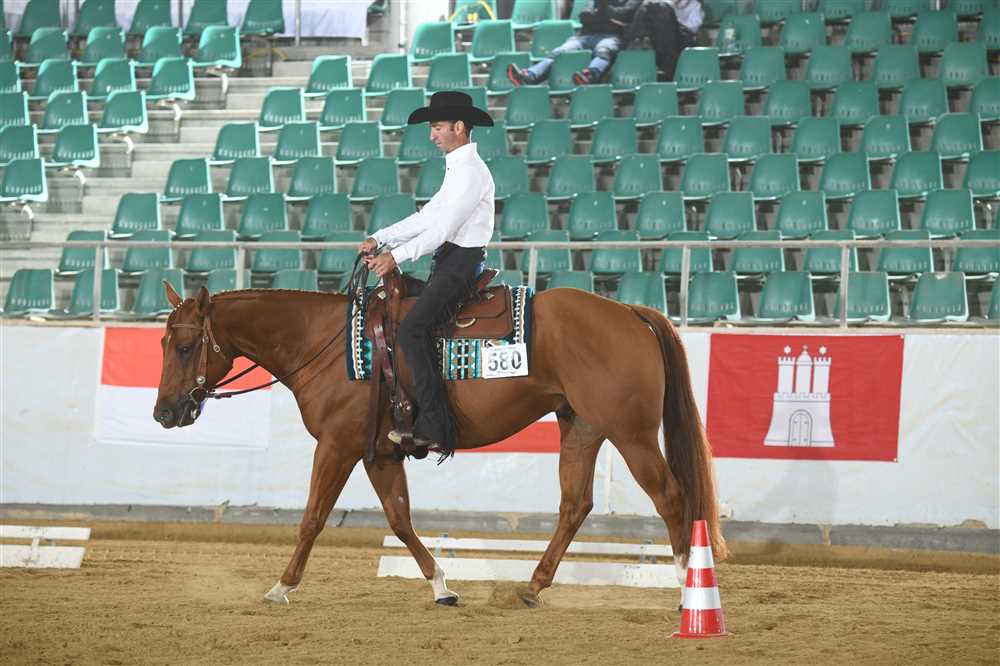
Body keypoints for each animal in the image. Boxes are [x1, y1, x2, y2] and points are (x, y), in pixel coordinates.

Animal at [153, 280, 727, 607]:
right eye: (161, 342)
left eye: (184, 346)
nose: (164, 412)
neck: (328, 344)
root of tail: (629, 312)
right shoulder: (380, 453)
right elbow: (400, 519)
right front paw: (442, 586)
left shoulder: (337, 446)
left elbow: (313, 518)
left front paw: (282, 586)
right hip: (582, 427)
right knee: (575, 504)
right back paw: (531, 588)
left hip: (631, 435)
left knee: (671, 498)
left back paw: (686, 591)